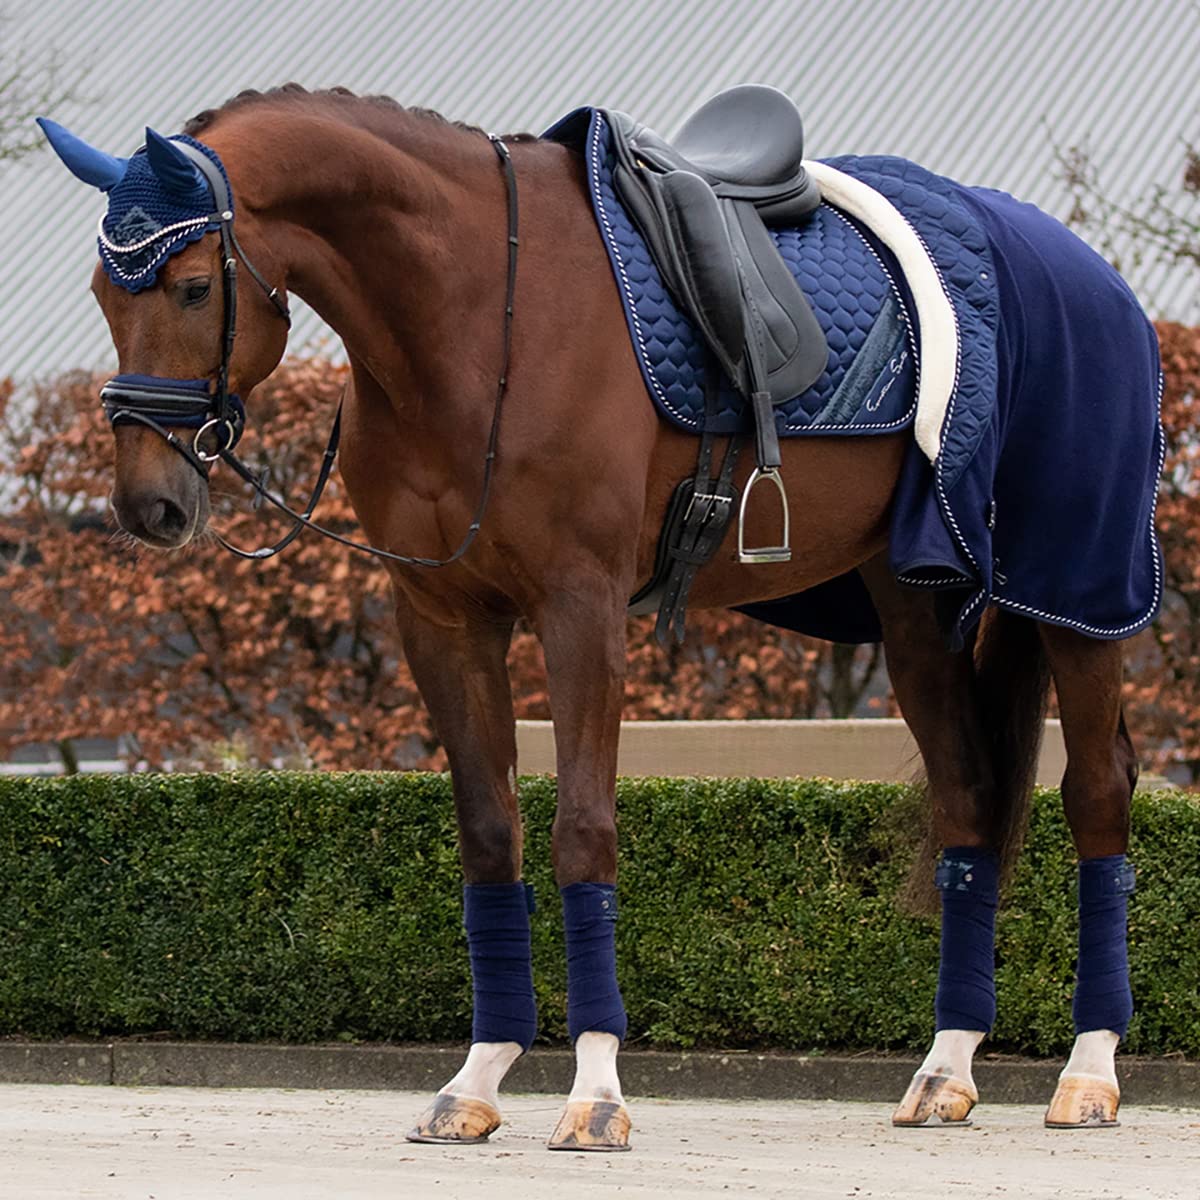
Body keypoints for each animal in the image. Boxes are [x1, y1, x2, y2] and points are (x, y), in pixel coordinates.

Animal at [39, 83, 1162, 1148]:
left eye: (192, 285)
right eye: (100, 291)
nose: (148, 506)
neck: (477, 311)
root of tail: (1090, 273)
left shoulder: (580, 608)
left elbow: (582, 832)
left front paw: (595, 1094)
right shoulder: (442, 618)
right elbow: (491, 835)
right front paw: (476, 1082)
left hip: (1075, 594)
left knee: (1098, 792)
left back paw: (1090, 1074)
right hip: (916, 609)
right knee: (969, 800)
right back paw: (946, 1070)